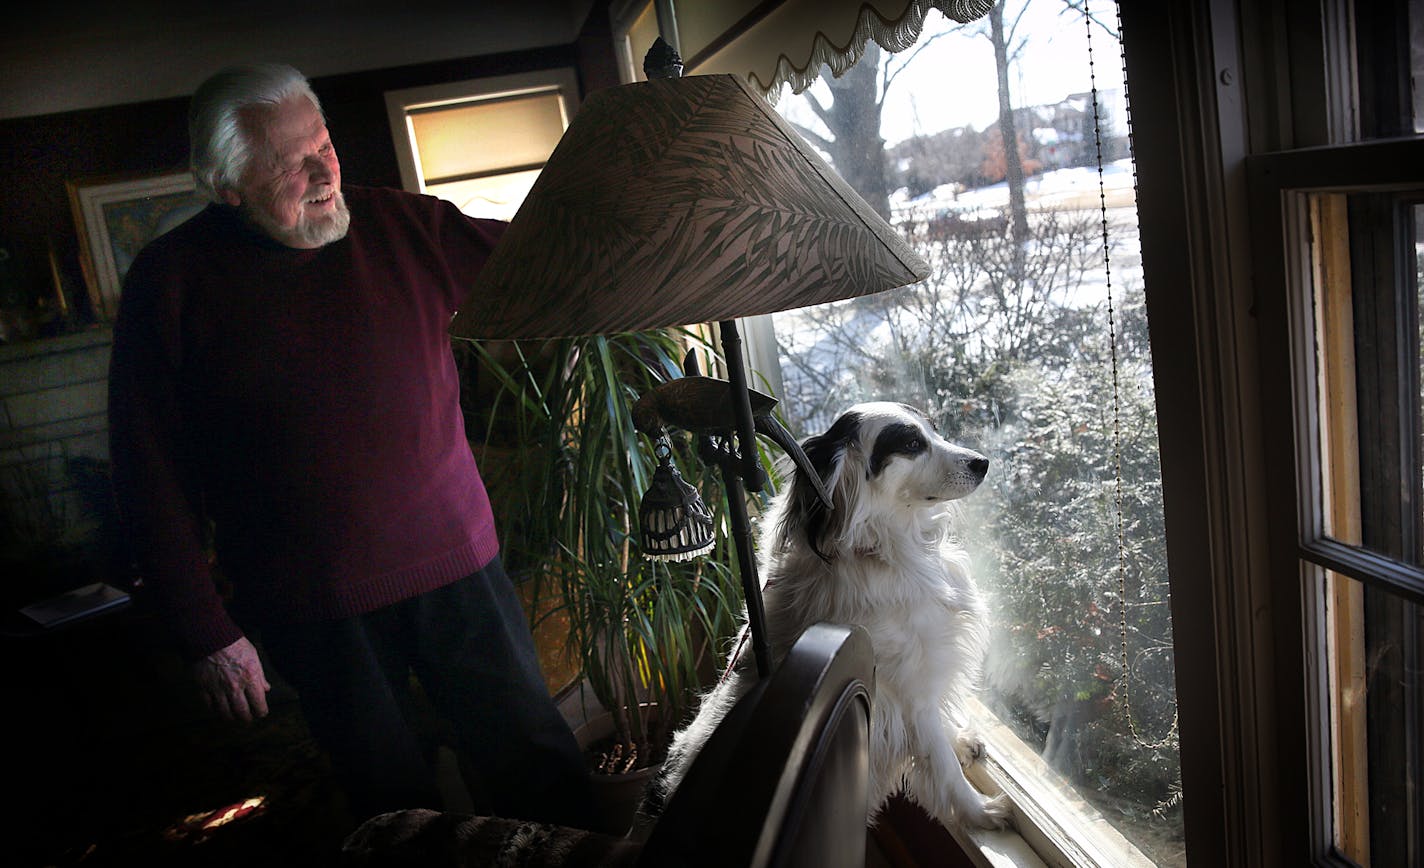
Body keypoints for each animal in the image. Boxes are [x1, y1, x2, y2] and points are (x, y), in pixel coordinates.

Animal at [640, 401, 1008, 836]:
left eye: (933, 430)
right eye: (911, 444)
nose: (982, 463)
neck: (880, 550)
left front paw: (961, 741)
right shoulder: (910, 695)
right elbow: (944, 766)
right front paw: (981, 813)